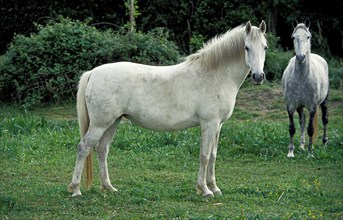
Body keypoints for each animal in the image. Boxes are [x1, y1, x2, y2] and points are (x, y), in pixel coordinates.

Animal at [68, 20, 268, 198]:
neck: (214, 75)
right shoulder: (209, 124)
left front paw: (215, 187)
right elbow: (204, 156)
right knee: (84, 148)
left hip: (112, 122)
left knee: (102, 150)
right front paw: (204, 190)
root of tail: (93, 72)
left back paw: (108, 187)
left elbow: (213, 155)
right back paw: (75, 189)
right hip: (100, 124)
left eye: (265, 47)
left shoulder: (218, 125)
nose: (258, 77)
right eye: (246, 47)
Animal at [284, 18, 330, 156]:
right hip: (300, 106)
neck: (302, 78)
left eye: (308, 36)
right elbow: (292, 128)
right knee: (302, 120)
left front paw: (310, 153)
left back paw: (324, 143)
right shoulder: (291, 106)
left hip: (324, 101)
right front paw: (290, 152)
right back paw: (302, 145)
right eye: (293, 37)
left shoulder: (312, 107)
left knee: (325, 119)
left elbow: (311, 129)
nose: (300, 57)